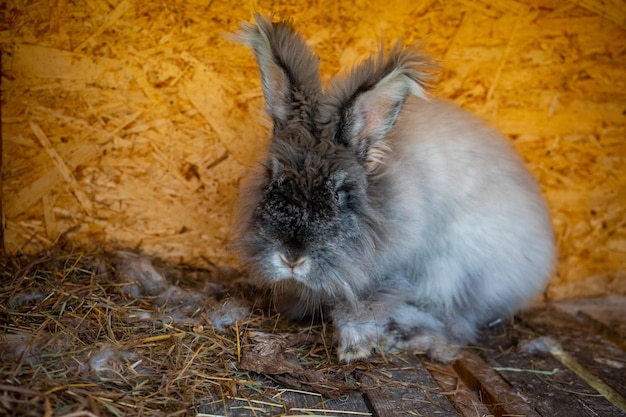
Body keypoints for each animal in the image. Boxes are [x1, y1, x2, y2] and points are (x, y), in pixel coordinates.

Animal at [232, 14, 552, 360]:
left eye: (341, 194)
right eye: (271, 178)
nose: (291, 259)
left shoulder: (386, 275)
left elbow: (365, 308)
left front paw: (354, 348)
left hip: (452, 270)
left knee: (456, 323)